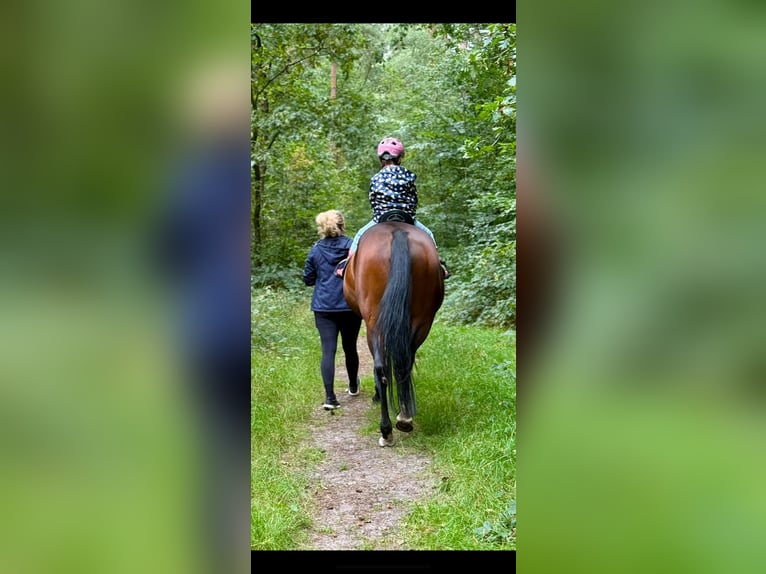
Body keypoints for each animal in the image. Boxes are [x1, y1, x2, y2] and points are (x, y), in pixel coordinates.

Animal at [343, 218, 445, 447]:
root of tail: (397, 231)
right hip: (423, 321)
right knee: (403, 363)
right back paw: (404, 419)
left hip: (374, 322)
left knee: (381, 369)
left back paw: (386, 430)